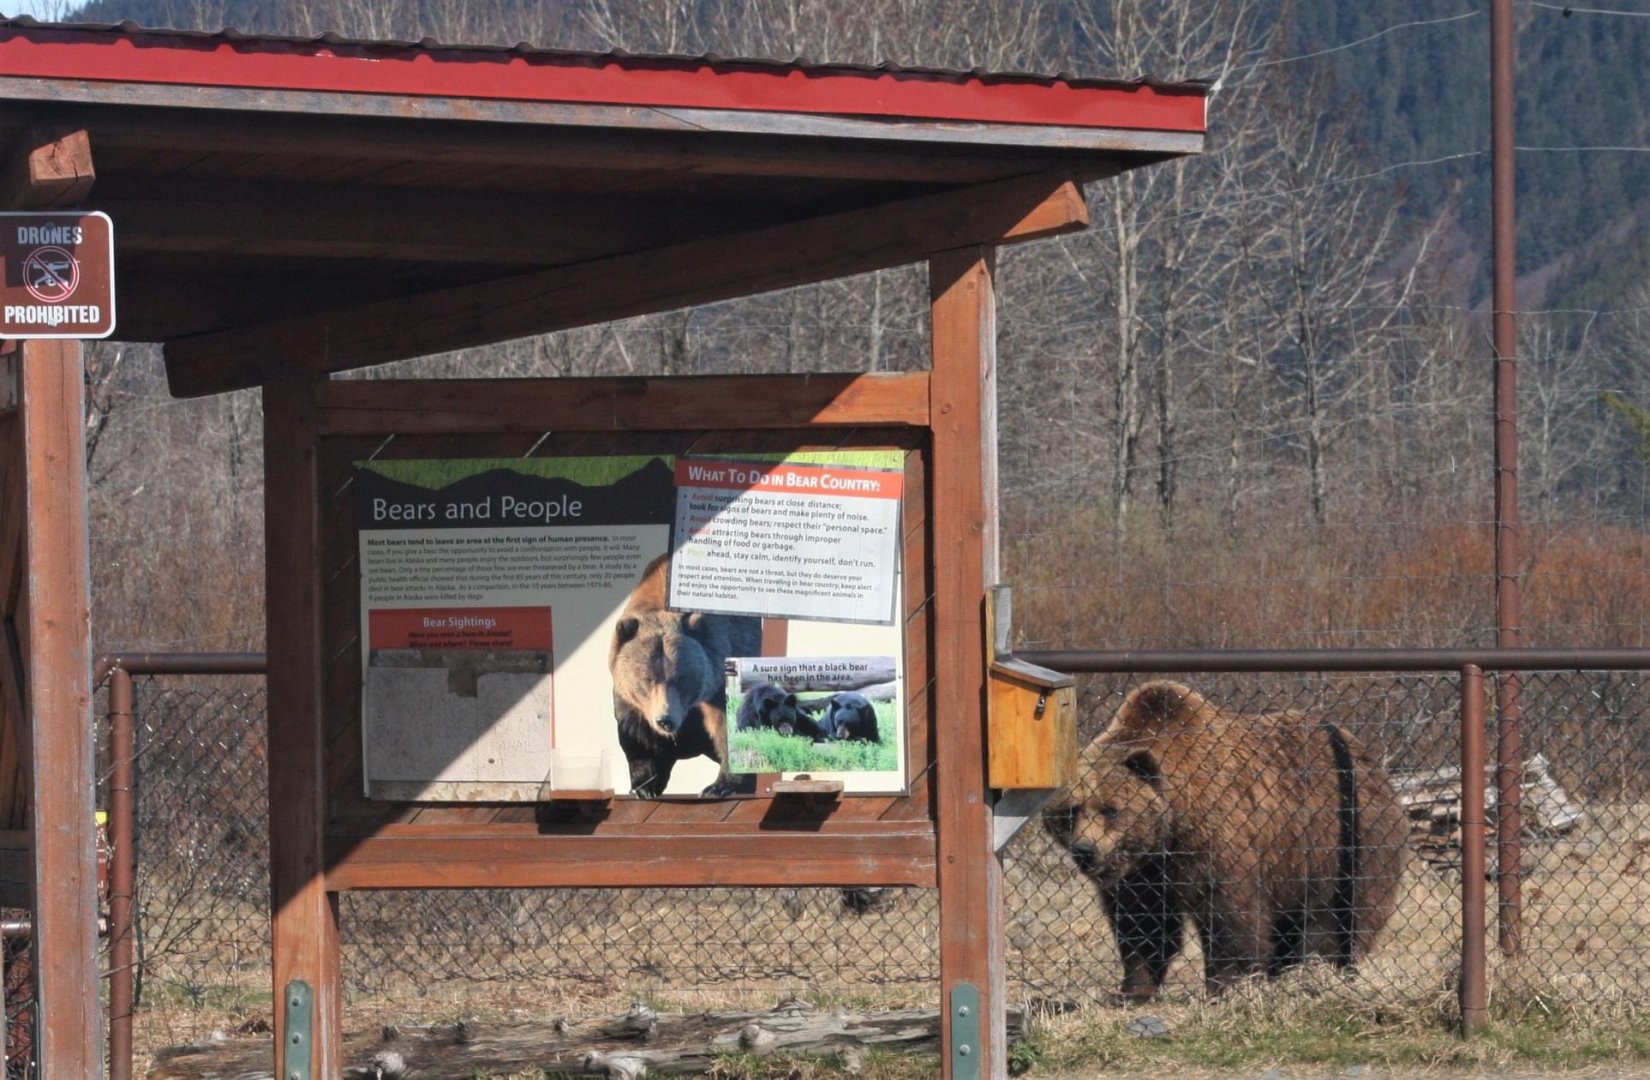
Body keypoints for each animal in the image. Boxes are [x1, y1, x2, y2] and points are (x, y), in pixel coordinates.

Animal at [609, 554, 762, 797]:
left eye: (680, 678)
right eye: (646, 680)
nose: (665, 720)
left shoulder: (718, 678)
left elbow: (726, 726)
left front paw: (720, 786)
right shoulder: (632, 699)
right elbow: (638, 734)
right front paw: (645, 786)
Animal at [1044, 681, 1407, 1002]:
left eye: (1111, 809)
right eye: (1070, 811)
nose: (1085, 850)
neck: (1174, 825)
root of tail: (1369, 758)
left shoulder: (1220, 837)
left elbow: (1229, 914)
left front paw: (1226, 986)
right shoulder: (1142, 871)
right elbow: (1142, 923)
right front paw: (1131, 990)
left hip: (1343, 843)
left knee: (1339, 913)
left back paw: (1321, 968)